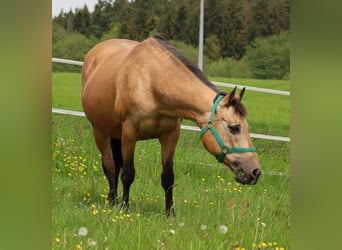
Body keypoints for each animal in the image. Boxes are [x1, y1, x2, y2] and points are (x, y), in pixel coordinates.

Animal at [81, 33, 262, 217]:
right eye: (234, 127)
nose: (255, 172)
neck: (152, 81)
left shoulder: (170, 135)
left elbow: (168, 177)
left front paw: (170, 213)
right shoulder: (129, 133)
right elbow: (128, 173)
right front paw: (125, 208)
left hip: (115, 133)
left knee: (116, 165)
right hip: (100, 131)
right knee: (110, 166)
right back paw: (113, 201)